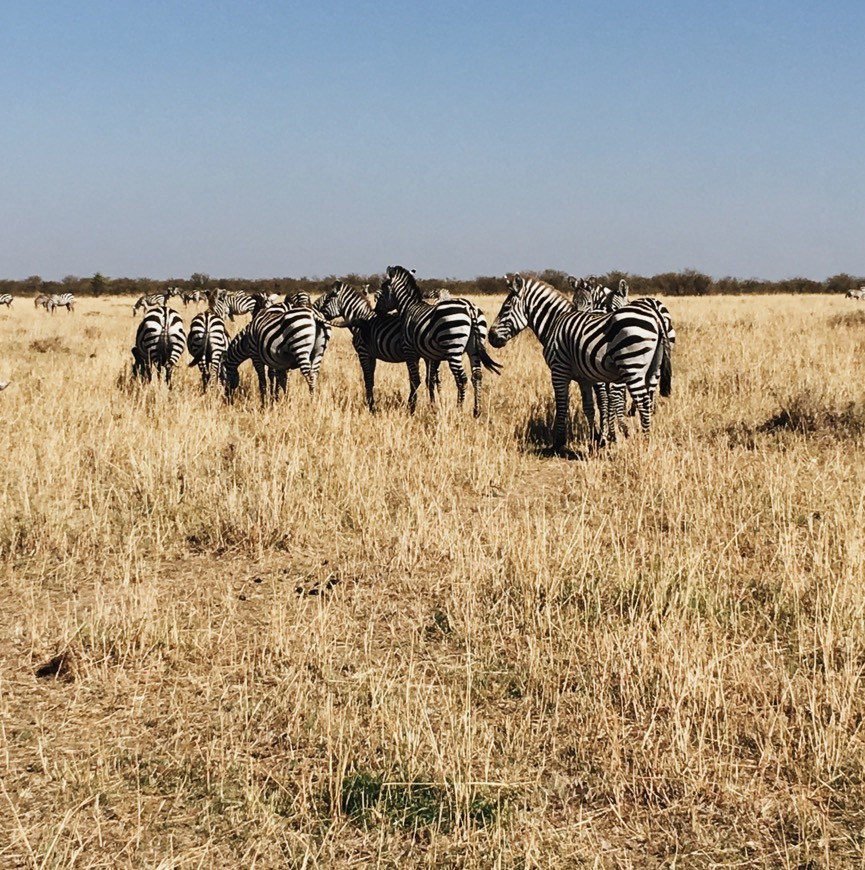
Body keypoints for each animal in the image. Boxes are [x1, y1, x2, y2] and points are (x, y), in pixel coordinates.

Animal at [372, 264, 506, 418]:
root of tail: (469, 307)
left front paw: (411, 407)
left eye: (382, 289)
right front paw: (433, 406)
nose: (377, 311)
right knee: (477, 376)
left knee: (461, 378)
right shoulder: (432, 355)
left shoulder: (410, 351)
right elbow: (431, 380)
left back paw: (459, 409)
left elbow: (415, 380)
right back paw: (476, 411)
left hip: (453, 347)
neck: (409, 307)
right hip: (475, 347)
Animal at [490, 276, 672, 454]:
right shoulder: (585, 378)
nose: (491, 337)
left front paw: (558, 442)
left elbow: (562, 404)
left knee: (643, 403)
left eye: (506, 308)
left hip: (631, 367)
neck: (554, 323)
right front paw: (596, 438)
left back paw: (645, 445)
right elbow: (589, 408)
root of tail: (655, 314)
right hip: (652, 370)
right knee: (648, 400)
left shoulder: (559, 370)